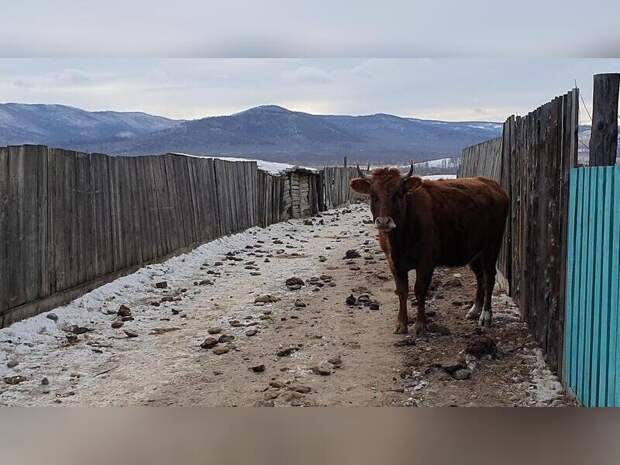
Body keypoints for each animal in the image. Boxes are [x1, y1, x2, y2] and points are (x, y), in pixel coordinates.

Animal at [348, 165, 508, 336]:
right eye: (373, 194)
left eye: (398, 193)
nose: (384, 222)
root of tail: (494, 185)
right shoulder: (393, 263)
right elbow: (402, 291)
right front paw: (401, 324)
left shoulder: (426, 261)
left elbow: (420, 289)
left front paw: (420, 325)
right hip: (474, 251)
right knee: (480, 277)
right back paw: (475, 310)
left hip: (491, 246)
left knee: (489, 277)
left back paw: (485, 316)